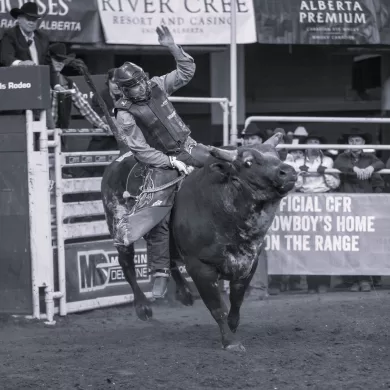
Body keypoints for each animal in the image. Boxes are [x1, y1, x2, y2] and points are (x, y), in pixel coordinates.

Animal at [100, 134, 296, 350]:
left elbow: (236, 302)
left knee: (168, 257)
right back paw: (143, 307)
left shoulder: (248, 263)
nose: (288, 172)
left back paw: (184, 292)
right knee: (126, 262)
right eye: (248, 162)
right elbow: (217, 306)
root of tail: (123, 152)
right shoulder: (200, 268)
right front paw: (230, 342)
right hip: (118, 225)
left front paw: (232, 327)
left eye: (277, 156)